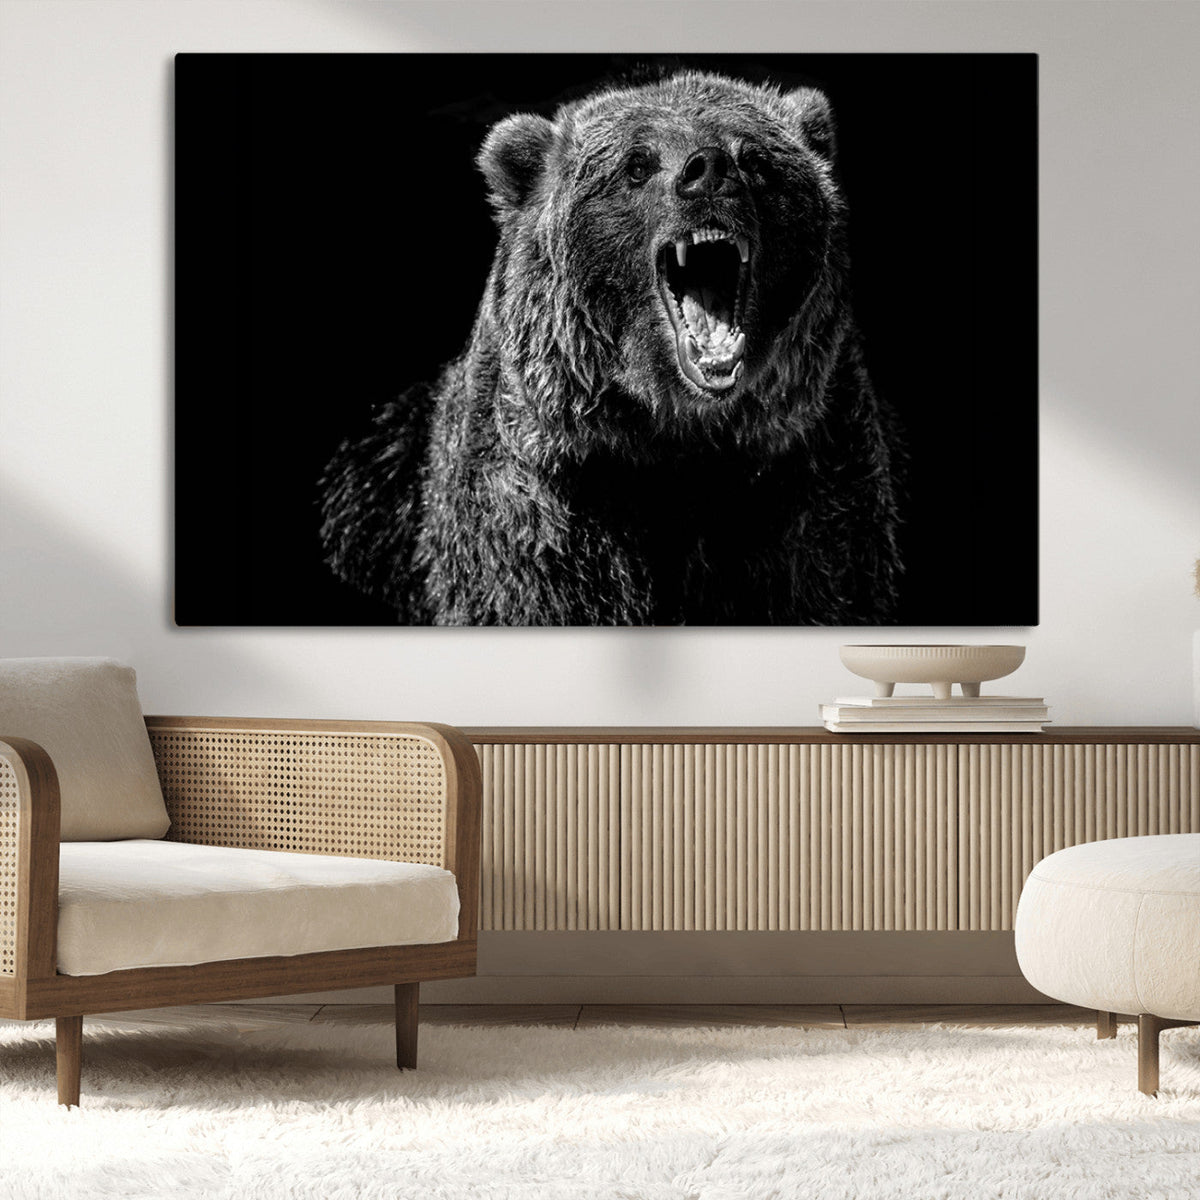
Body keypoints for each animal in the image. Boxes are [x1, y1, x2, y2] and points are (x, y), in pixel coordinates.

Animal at [319, 70, 904, 625]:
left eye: (754, 158)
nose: (709, 170)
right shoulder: (548, 506)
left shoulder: (805, 484)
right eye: (637, 165)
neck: (675, 435)